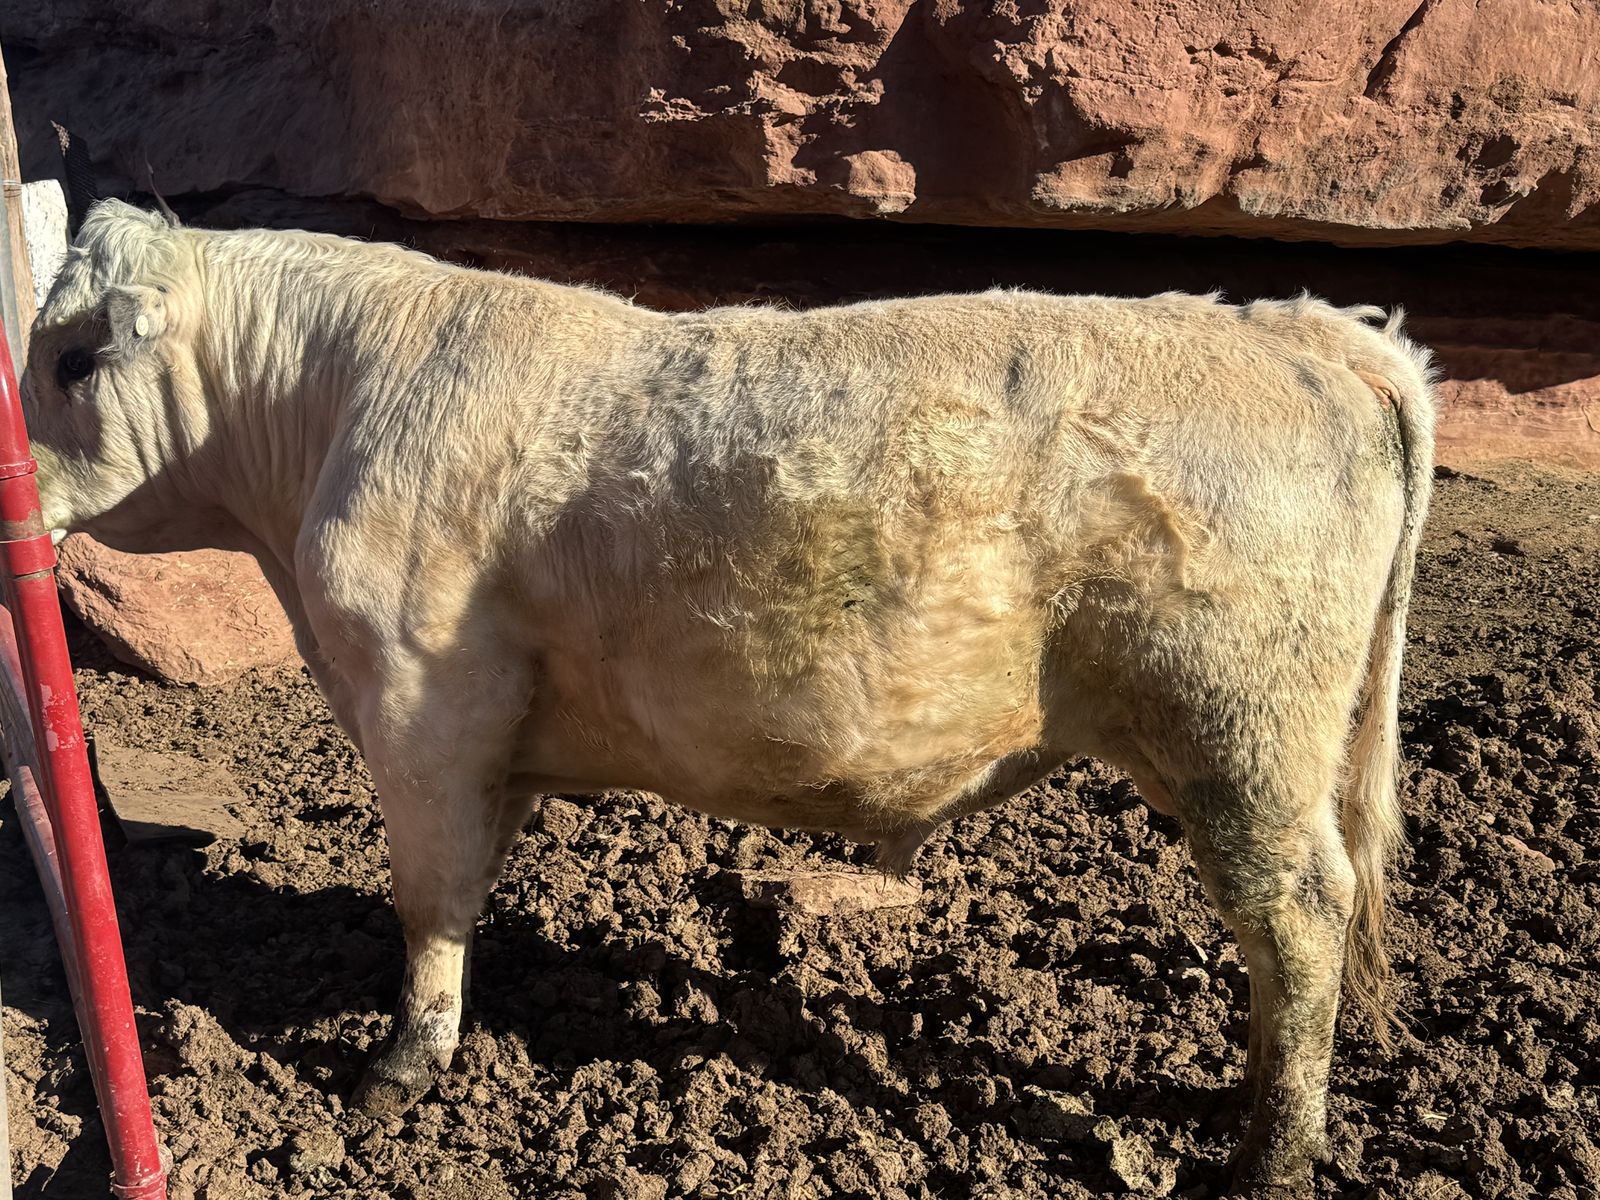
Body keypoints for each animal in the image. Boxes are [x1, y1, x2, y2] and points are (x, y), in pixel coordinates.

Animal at [20, 200, 1434, 1193]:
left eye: (73, 358)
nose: (7, 491)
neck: (328, 416)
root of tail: (1302, 324)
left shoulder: (423, 705)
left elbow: (427, 897)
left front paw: (394, 1075)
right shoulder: (493, 742)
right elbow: (468, 887)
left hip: (1239, 736)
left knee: (1301, 914)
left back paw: (1265, 1159)